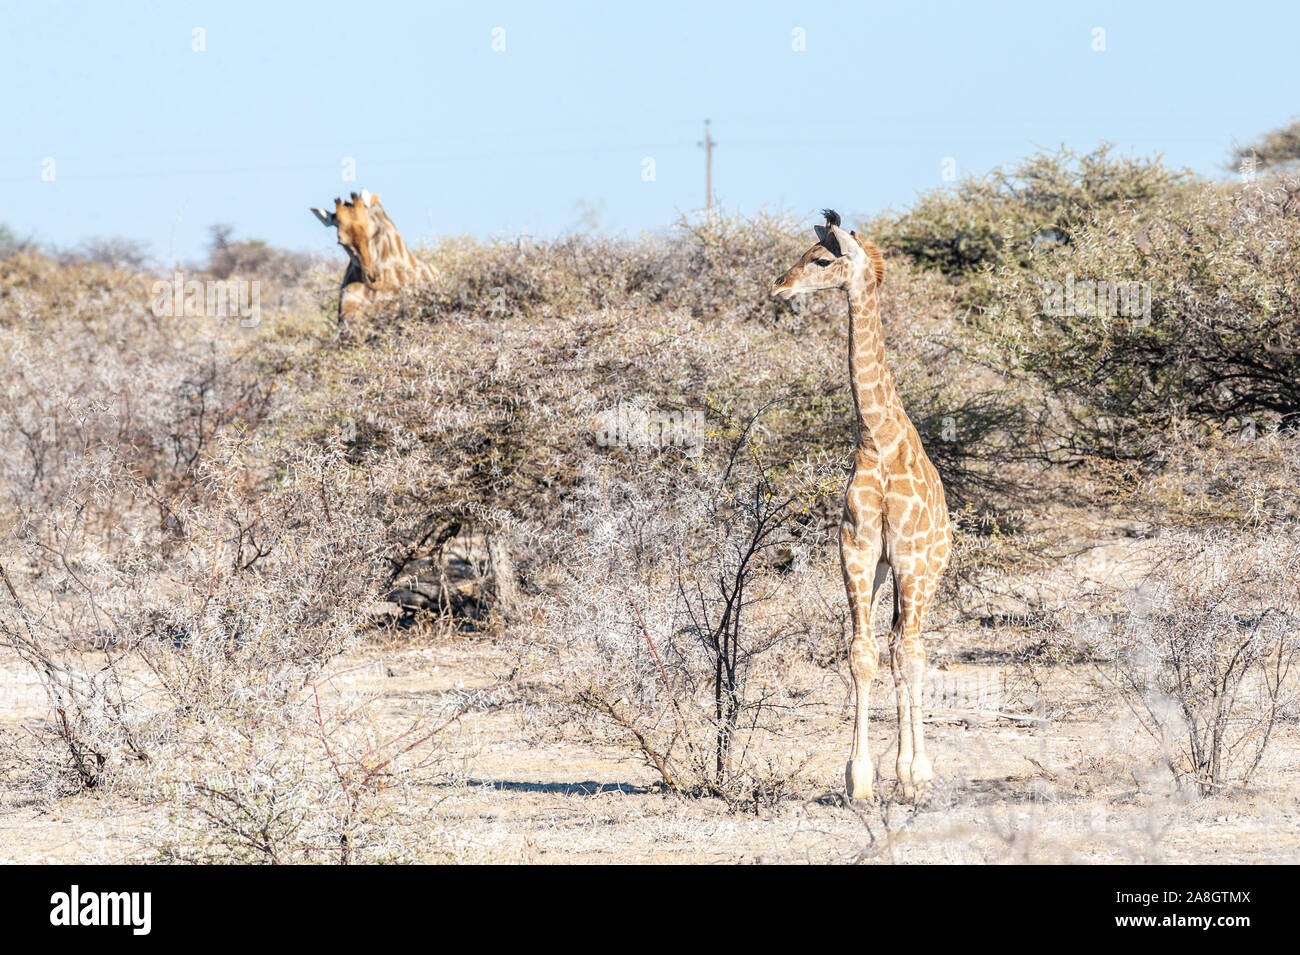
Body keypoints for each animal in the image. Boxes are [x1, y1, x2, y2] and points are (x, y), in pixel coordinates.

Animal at [769, 210, 956, 805]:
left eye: (821, 259)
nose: (779, 287)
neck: (877, 436)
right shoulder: (858, 552)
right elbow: (862, 654)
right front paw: (861, 778)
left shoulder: (909, 559)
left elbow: (906, 657)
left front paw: (910, 773)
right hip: (887, 571)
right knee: (896, 647)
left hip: (926, 572)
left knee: (913, 650)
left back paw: (919, 772)